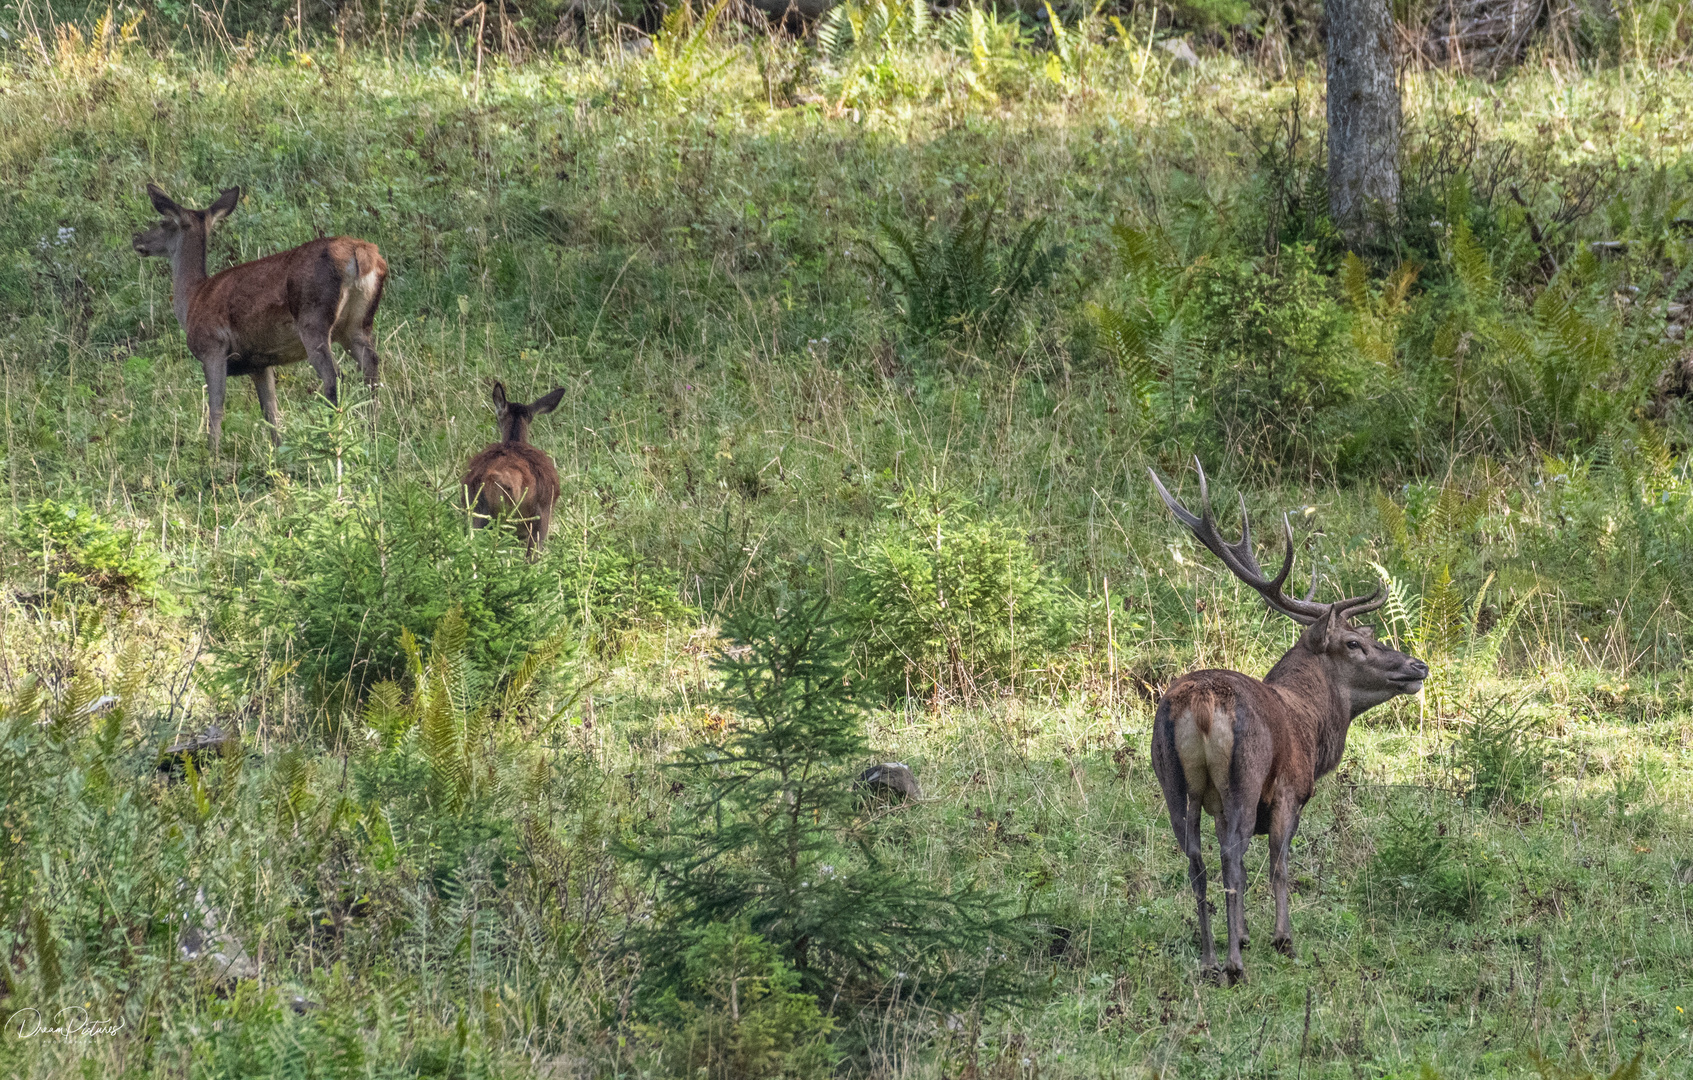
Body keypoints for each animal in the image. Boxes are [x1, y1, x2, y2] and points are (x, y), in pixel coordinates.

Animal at [130, 182, 387, 460]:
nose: (137, 238)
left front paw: (212, 457)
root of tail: (361, 254)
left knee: (334, 375)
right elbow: (270, 411)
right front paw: (280, 453)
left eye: (163, 221)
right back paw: (373, 434)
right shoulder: (260, 362)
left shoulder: (212, 347)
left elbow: (216, 407)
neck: (193, 299)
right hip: (356, 325)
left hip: (313, 318)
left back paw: (332, 438)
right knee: (371, 364)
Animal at [1144, 460, 1422, 988]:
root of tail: (1199, 706)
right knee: (1231, 857)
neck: (1312, 725)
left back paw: (1209, 958)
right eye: (1355, 643)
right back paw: (1234, 965)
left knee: (1196, 861)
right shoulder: (1290, 790)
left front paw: (1245, 932)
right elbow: (1277, 863)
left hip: (1171, 778)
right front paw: (1280, 938)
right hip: (1245, 774)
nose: (1418, 666)